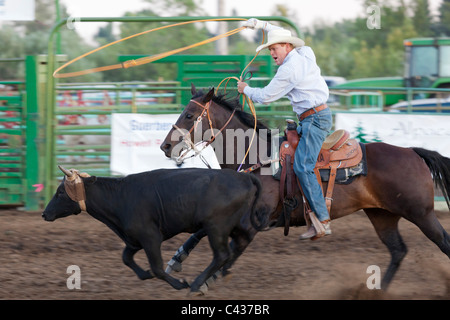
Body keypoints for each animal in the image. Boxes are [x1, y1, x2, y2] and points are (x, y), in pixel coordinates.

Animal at [161, 84, 450, 290]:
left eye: (189, 115)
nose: (165, 146)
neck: (257, 158)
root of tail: (412, 152)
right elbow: (201, 232)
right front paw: (176, 259)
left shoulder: (254, 223)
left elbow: (229, 250)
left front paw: (201, 282)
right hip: (383, 215)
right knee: (398, 251)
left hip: (421, 213)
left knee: (443, 242)